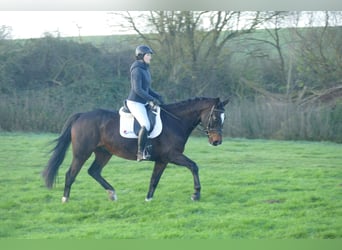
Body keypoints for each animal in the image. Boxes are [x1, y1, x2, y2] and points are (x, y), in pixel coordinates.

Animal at [43, 96, 230, 202]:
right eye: (215, 117)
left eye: (224, 118)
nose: (217, 142)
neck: (175, 121)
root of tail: (81, 115)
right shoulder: (173, 155)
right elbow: (193, 166)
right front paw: (196, 194)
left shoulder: (163, 159)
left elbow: (154, 179)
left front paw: (148, 199)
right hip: (82, 153)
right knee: (71, 174)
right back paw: (65, 198)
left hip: (104, 153)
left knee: (94, 171)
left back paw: (112, 194)